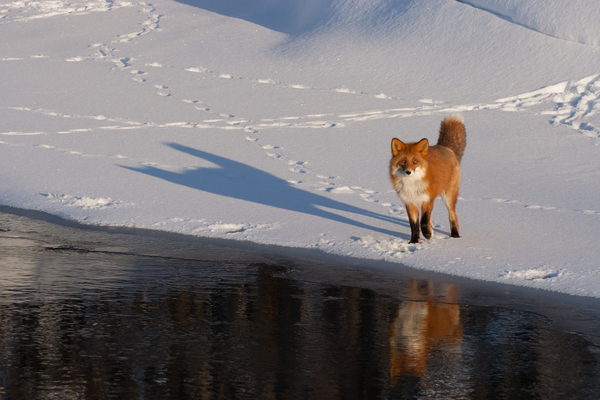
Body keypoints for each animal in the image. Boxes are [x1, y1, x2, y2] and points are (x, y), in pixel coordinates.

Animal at [390, 115, 468, 244]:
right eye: (404, 161)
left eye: (415, 162)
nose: (408, 172)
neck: (412, 185)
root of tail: (446, 148)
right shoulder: (410, 202)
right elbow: (414, 225)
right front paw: (415, 242)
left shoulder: (427, 199)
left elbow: (423, 222)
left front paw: (426, 234)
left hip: (448, 196)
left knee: (453, 216)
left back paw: (455, 236)